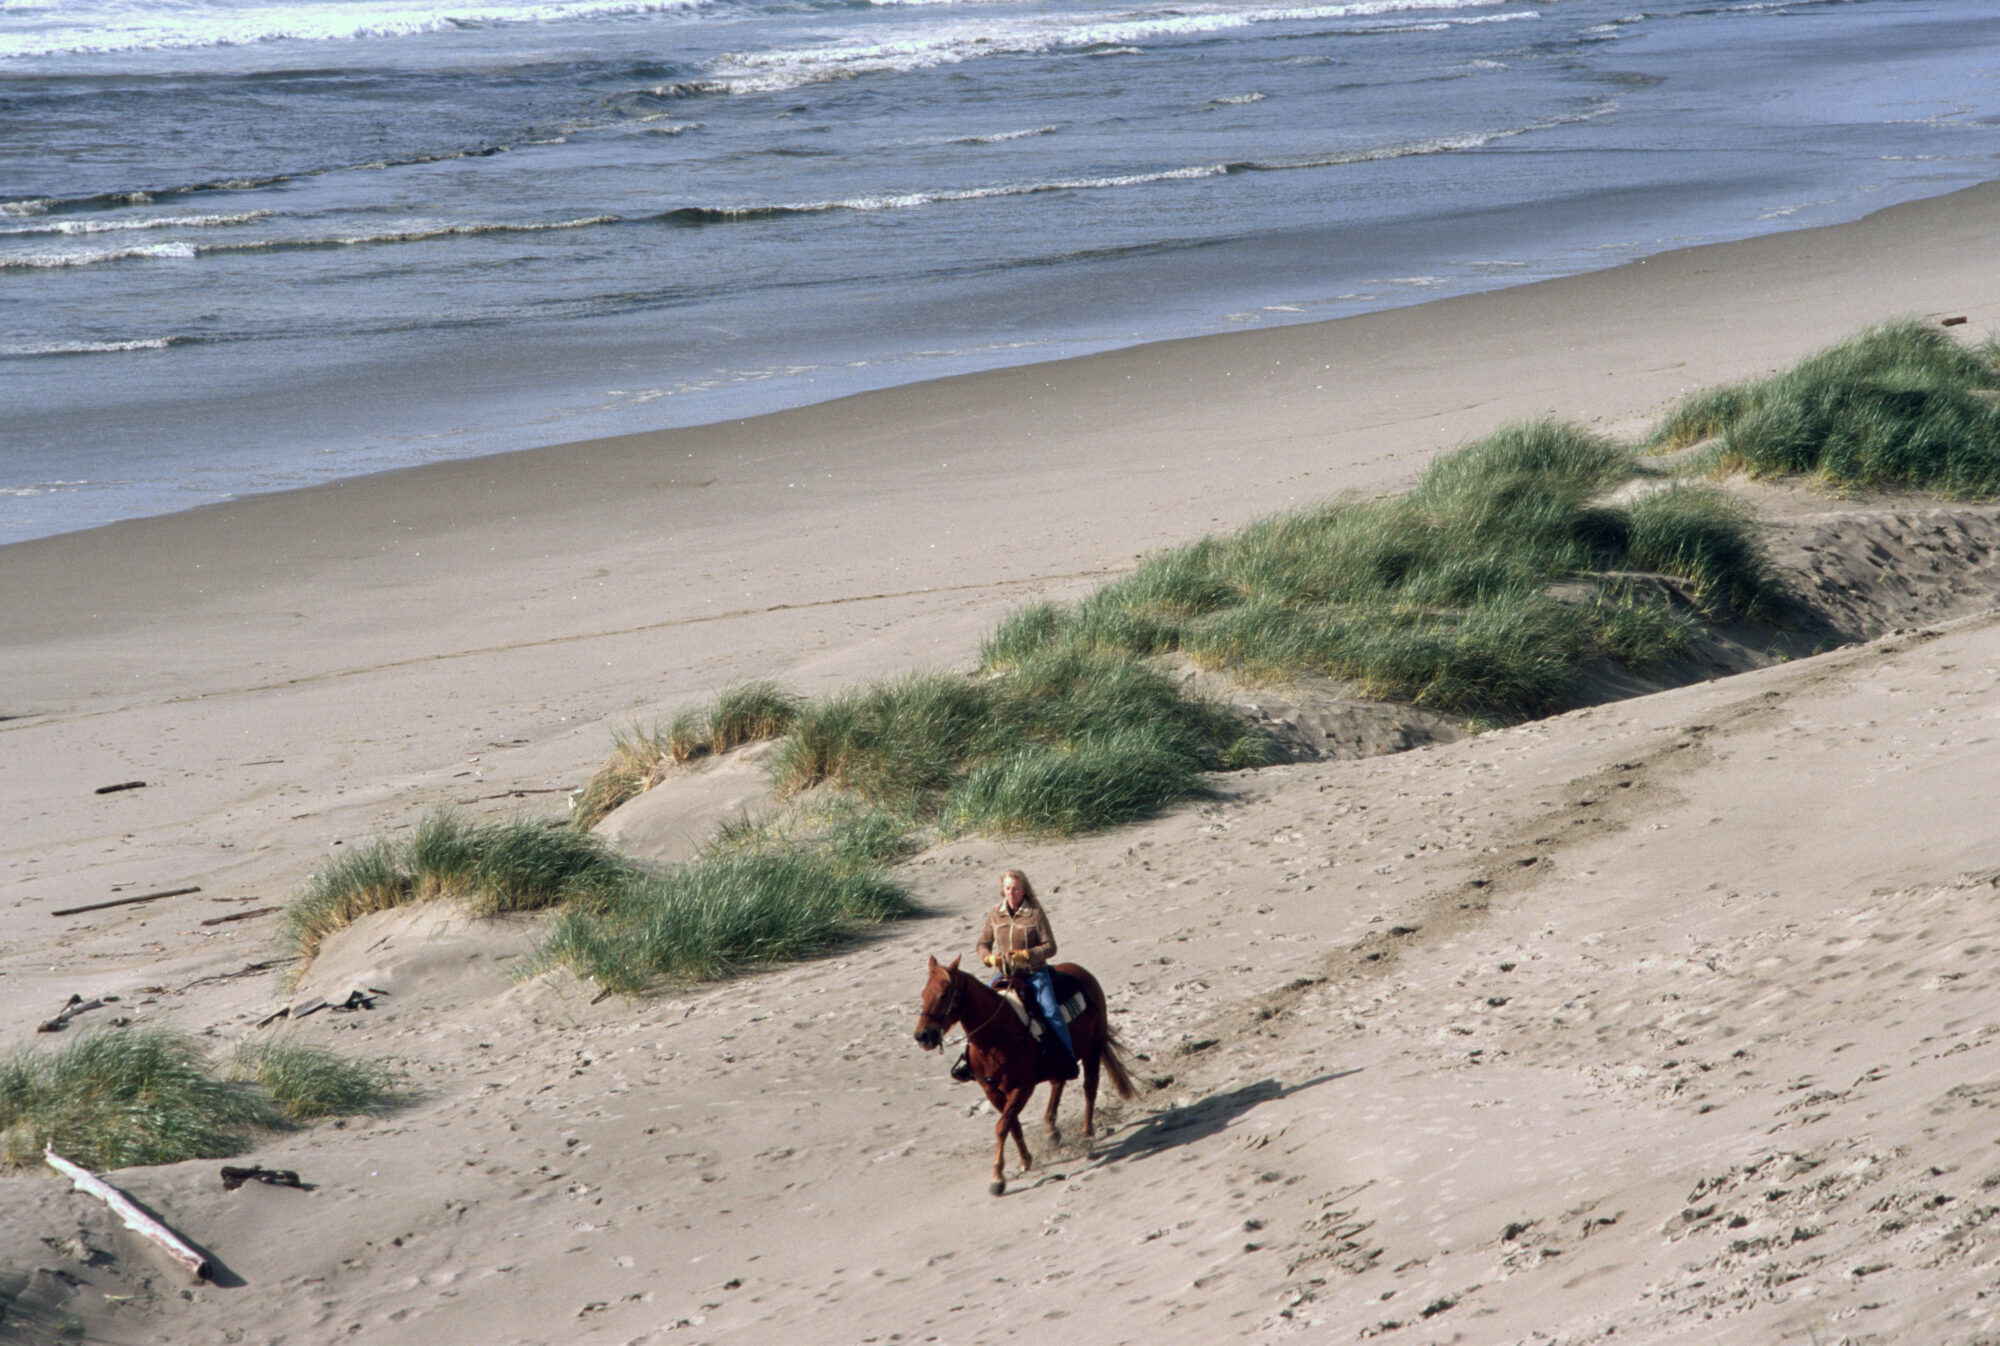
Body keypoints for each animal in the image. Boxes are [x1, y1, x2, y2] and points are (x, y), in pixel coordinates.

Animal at [916, 952, 1136, 1192]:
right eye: (923, 993)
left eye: (944, 994)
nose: (922, 1036)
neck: (995, 1036)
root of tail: (1081, 971)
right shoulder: (992, 1092)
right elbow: (1012, 1126)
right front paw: (1024, 1160)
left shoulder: (1022, 1088)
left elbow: (1002, 1126)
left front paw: (998, 1177)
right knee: (1058, 1083)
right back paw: (1051, 1129)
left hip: (1092, 1049)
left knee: (1090, 1088)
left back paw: (1086, 1132)